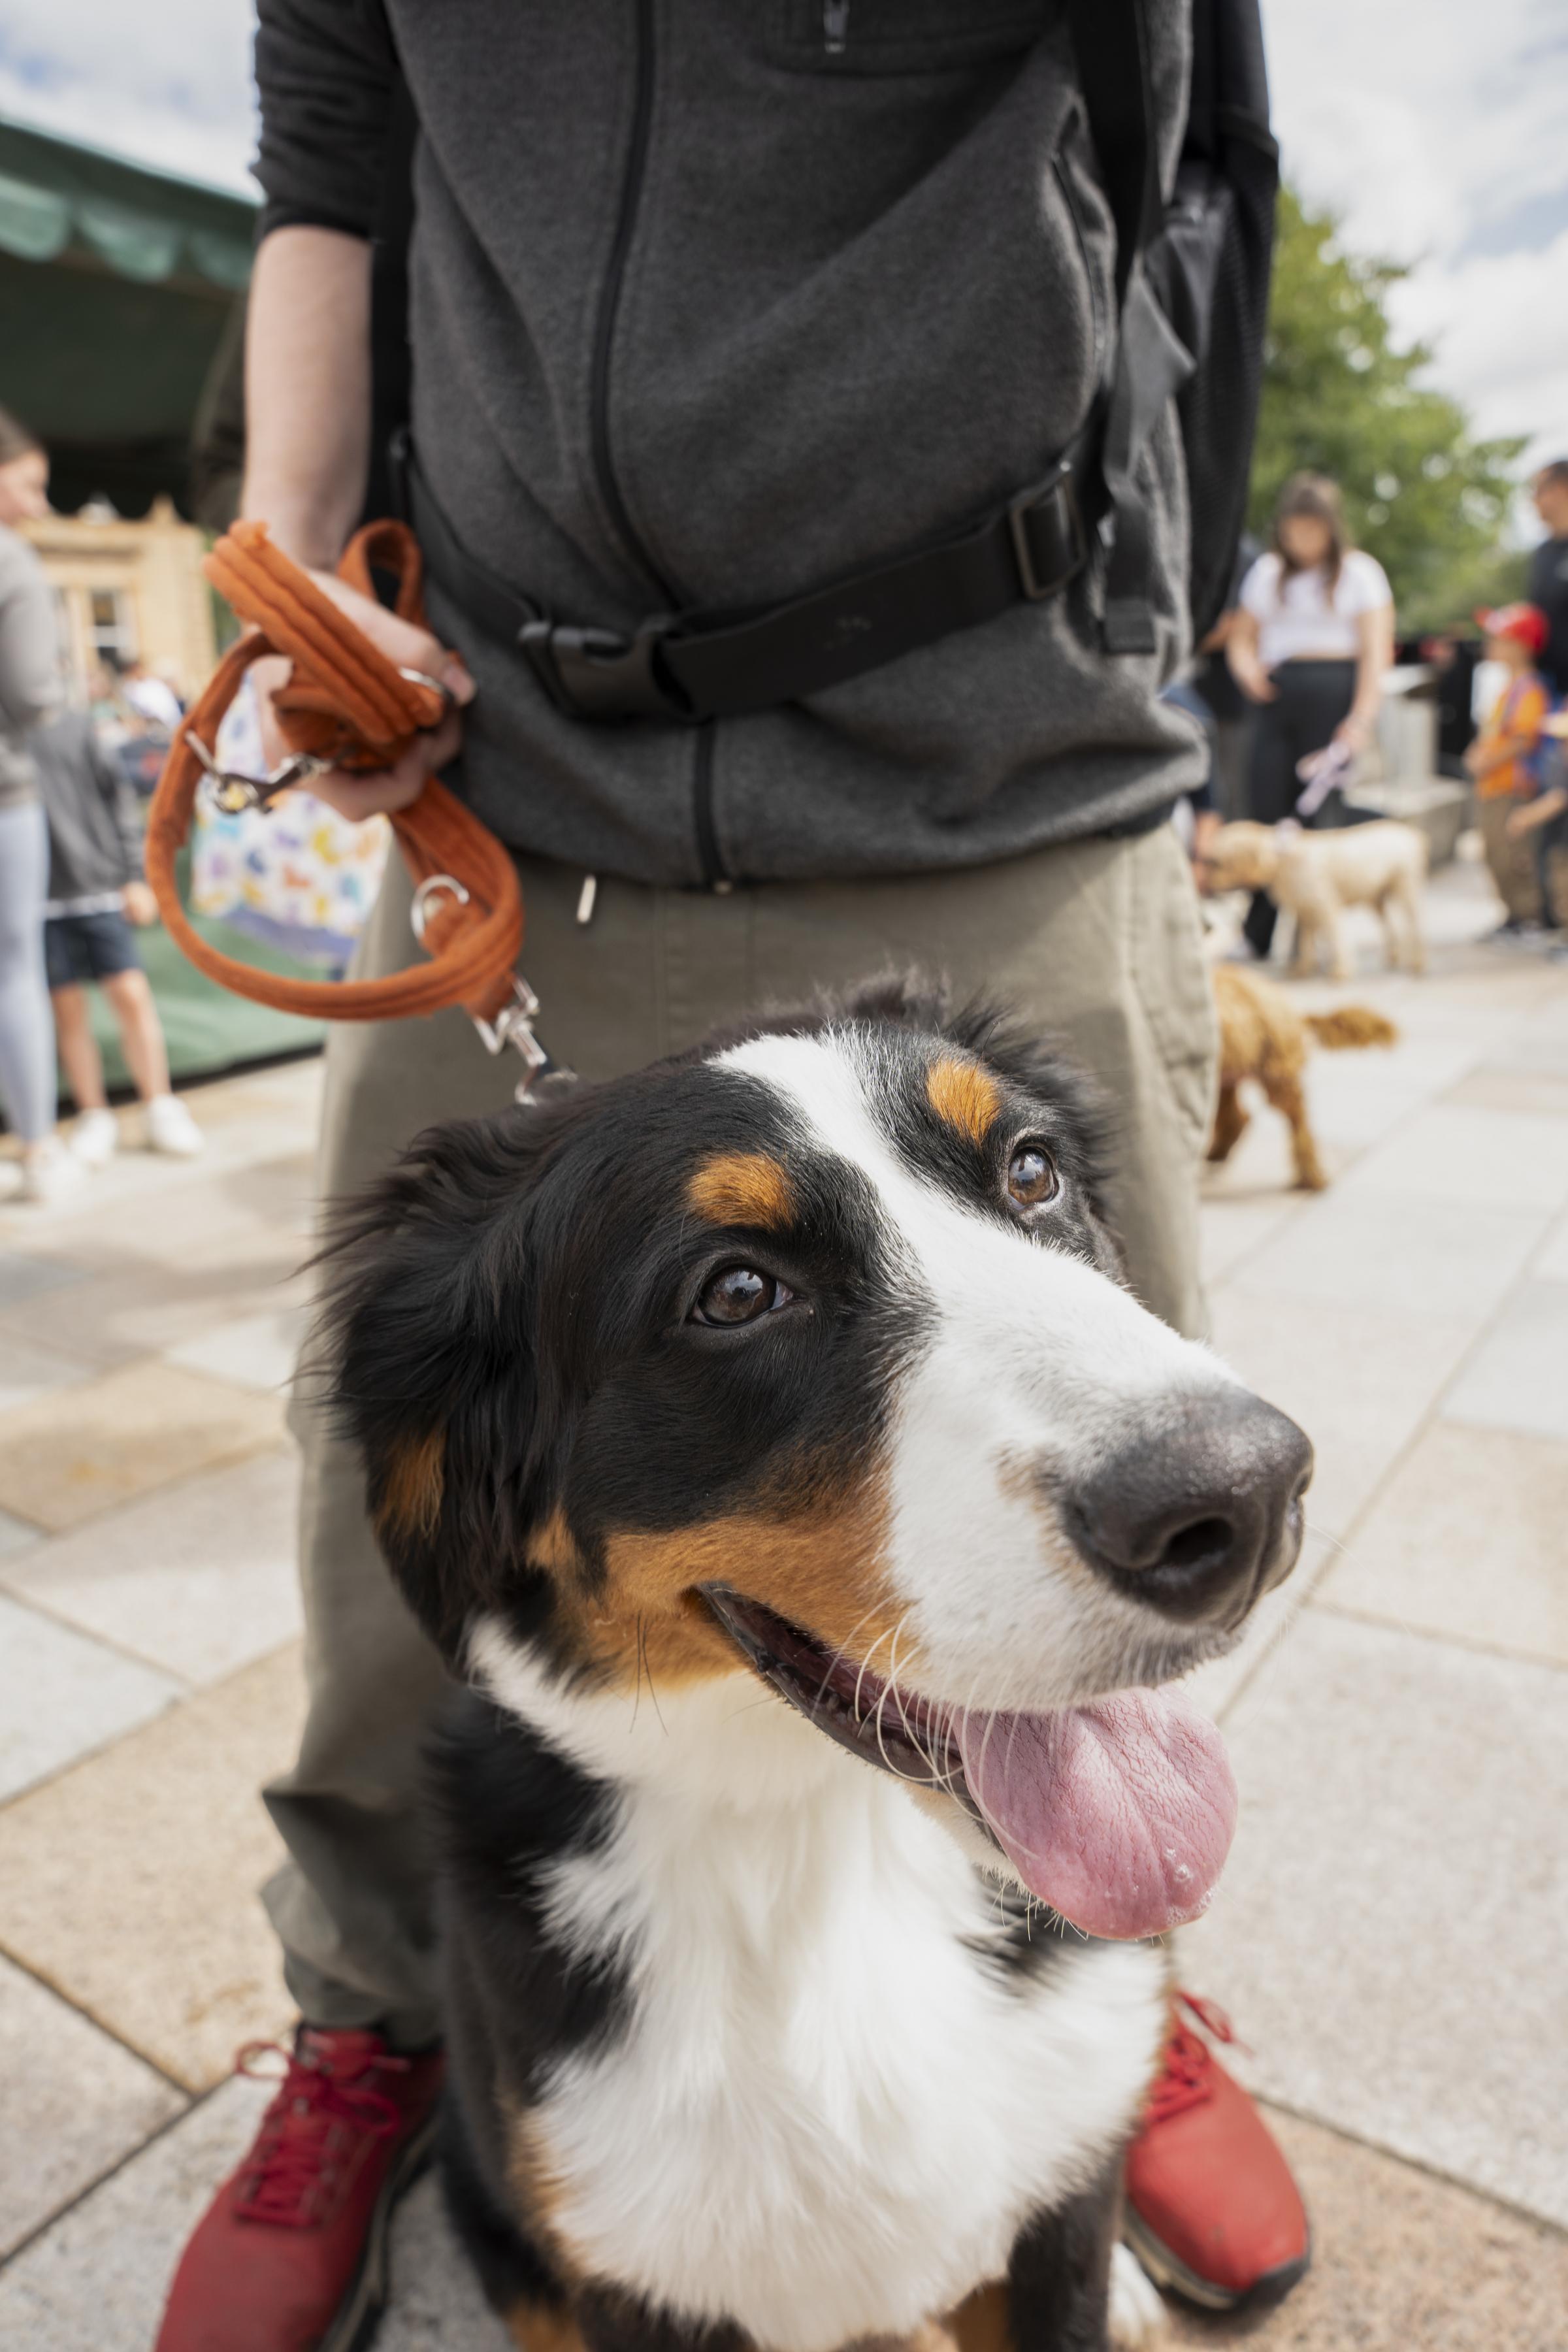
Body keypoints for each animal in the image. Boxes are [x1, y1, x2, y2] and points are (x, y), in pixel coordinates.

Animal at [321, 973, 1316, 2352]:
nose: (1248, 1496)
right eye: (737, 1293)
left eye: (1032, 1169)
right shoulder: (638, 2269)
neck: (829, 1850)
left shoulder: (1060, 2190)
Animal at [1213, 964, 1401, 1194]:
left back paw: (1311, 1176)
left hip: (1277, 1077)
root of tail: (1295, 1014)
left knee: (1299, 1122)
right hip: (1229, 1074)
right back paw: (1216, 1152)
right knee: (1238, 1117)